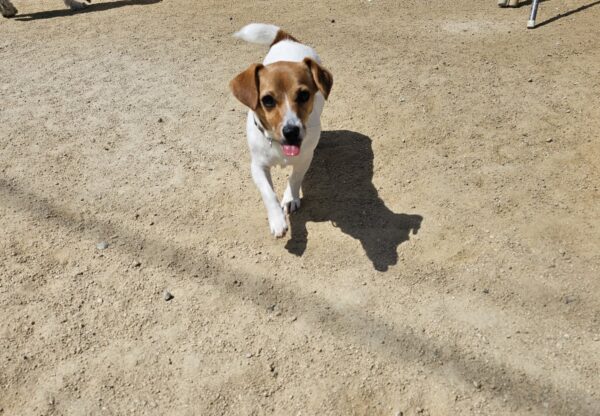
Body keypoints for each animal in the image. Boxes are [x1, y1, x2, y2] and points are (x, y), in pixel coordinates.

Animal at [230, 23, 333, 238]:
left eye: (304, 95)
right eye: (267, 100)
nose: (291, 131)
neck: (280, 145)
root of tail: (287, 39)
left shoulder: (304, 159)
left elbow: (294, 178)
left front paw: (290, 198)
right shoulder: (257, 166)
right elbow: (268, 193)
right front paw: (277, 219)